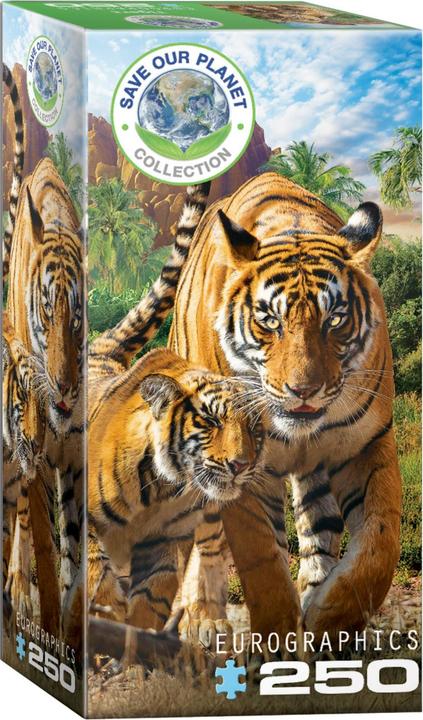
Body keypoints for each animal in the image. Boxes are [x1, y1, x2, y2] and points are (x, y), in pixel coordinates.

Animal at [167, 171, 401, 642]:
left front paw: (328, 620)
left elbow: (379, 546)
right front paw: (279, 640)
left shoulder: (369, 444)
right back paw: (202, 622)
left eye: (335, 319)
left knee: (318, 528)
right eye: (269, 321)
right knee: (197, 540)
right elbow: (263, 565)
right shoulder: (240, 469)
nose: (303, 390)